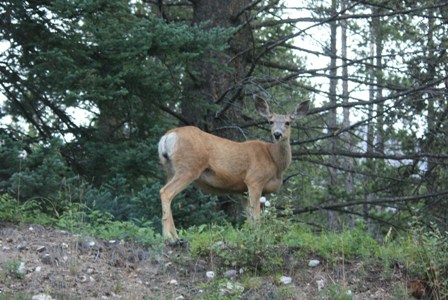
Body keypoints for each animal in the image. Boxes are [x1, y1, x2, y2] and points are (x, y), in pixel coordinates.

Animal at [158, 96, 308, 241]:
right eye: (270, 122)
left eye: (288, 122)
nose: (277, 134)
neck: (274, 161)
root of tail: (168, 136)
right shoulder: (254, 180)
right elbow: (256, 216)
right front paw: (259, 237)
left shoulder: (243, 191)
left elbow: (249, 217)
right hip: (189, 167)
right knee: (165, 192)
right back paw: (169, 237)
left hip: (170, 170)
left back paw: (175, 236)